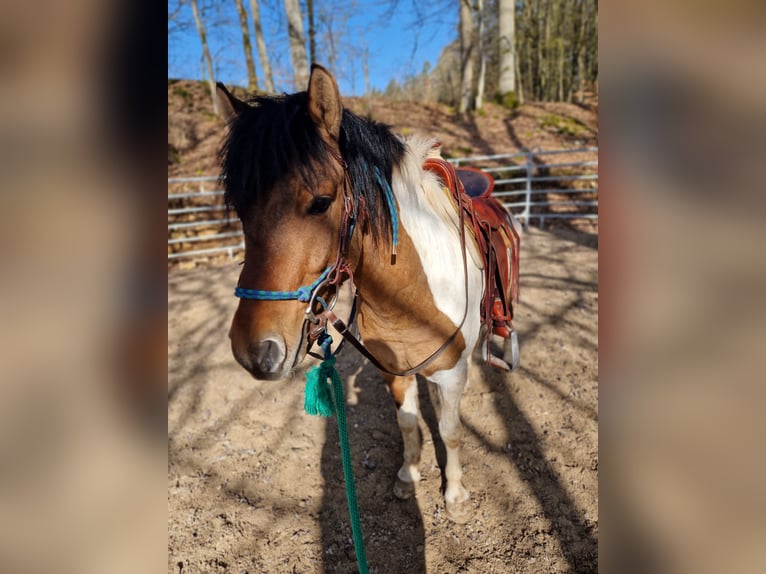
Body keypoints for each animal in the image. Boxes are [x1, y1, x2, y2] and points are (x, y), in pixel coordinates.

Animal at [216, 64, 519, 523]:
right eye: (239, 208)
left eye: (322, 202)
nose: (254, 352)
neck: (409, 299)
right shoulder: (395, 369)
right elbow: (409, 422)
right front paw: (408, 476)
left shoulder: (452, 372)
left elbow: (449, 429)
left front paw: (455, 493)